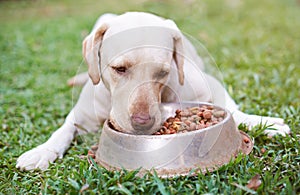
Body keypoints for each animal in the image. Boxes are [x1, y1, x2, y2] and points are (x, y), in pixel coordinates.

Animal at [15, 12, 290, 171]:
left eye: (163, 72)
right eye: (119, 69)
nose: (142, 122)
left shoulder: (209, 82)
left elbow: (234, 110)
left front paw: (261, 122)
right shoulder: (81, 115)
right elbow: (63, 129)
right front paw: (42, 150)